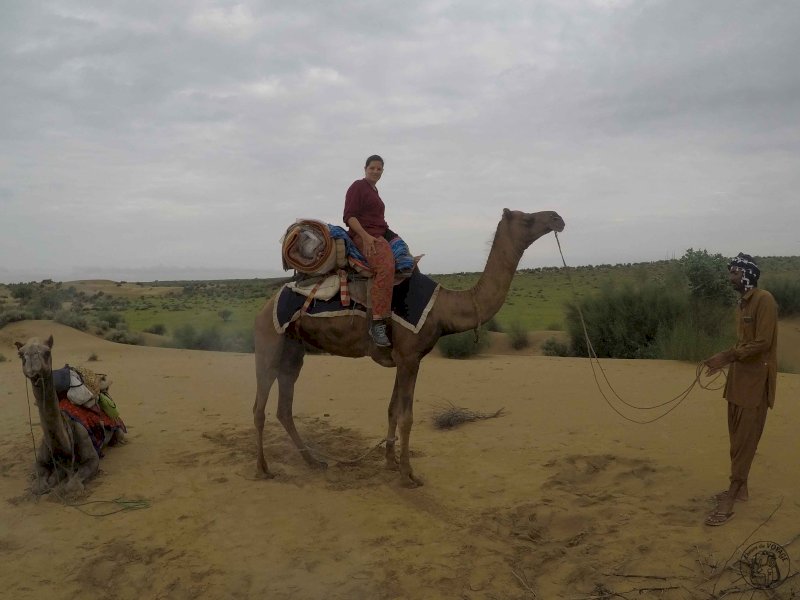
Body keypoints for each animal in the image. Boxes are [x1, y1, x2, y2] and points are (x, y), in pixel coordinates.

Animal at [14, 336, 124, 494]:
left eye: (47, 352)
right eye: (20, 354)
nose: (32, 368)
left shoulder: (91, 458)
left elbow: (71, 487)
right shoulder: (40, 461)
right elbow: (39, 486)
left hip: (118, 429)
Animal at [253, 209, 564, 486]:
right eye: (527, 218)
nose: (557, 218)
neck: (444, 307)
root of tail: (266, 305)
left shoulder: (402, 359)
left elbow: (392, 409)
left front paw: (390, 463)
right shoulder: (410, 358)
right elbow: (407, 417)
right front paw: (408, 475)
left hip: (293, 349)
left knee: (284, 407)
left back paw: (313, 461)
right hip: (269, 342)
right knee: (259, 407)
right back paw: (264, 469)